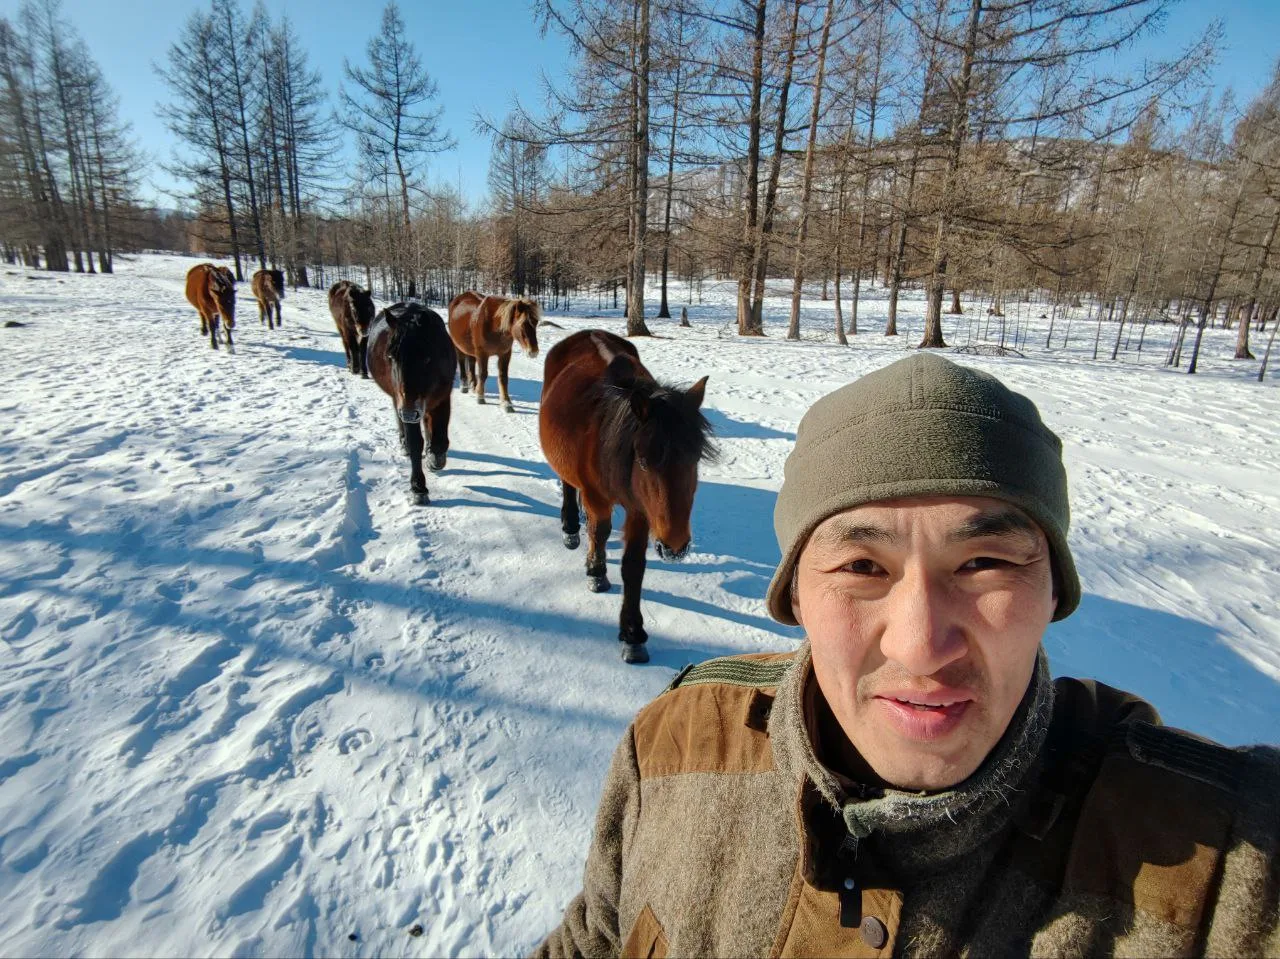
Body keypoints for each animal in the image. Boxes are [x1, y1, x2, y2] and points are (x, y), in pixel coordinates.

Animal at [366, 302, 457, 505]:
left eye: (426, 357)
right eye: (391, 357)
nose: (408, 413)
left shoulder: (442, 398)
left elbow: (440, 437)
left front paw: (434, 458)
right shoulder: (406, 404)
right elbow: (415, 442)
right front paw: (418, 488)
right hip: (398, 400)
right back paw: (404, 445)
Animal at [539, 329, 713, 664]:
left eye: (695, 458)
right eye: (643, 461)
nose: (674, 547)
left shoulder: (641, 511)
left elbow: (633, 566)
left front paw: (632, 634)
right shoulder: (598, 498)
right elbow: (600, 532)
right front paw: (596, 572)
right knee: (568, 485)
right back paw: (571, 529)